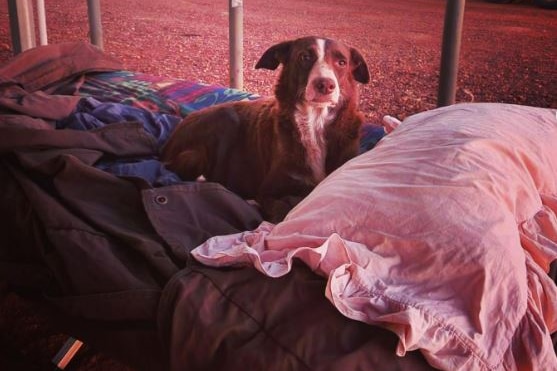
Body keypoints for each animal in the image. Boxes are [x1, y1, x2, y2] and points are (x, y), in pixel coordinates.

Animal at [161, 37, 370, 224]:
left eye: (342, 62)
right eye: (304, 57)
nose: (325, 84)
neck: (314, 123)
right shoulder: (267, 191)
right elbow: (283, 211)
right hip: (224, 121)